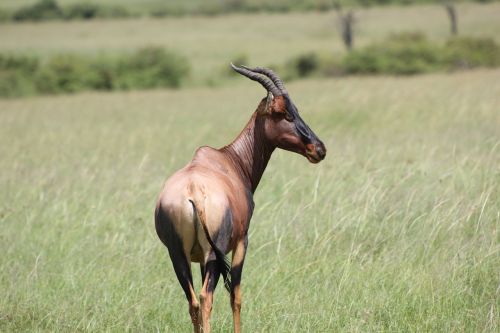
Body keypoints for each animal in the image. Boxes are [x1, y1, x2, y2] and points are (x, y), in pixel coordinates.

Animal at [156, 63, 328, 330]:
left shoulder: (197, 258)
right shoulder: (241, 242)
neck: (228, 160)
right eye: (285, 114)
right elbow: (236, 297)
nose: (319, 149)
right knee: (206, 298)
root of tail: (193, 191)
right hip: (213, 253)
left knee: (193, 302)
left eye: (296, 110)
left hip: (178, 255)